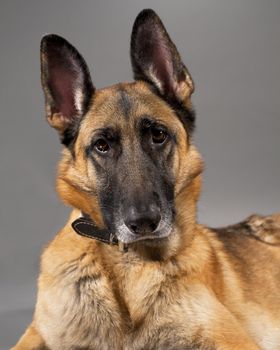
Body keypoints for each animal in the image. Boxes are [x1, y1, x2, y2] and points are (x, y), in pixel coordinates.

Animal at [12, 8, 280, 350]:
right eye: (102, 145)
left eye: (158, 135)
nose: (143, 222)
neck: (128, 269)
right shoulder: (37, 333)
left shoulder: (234, 342)